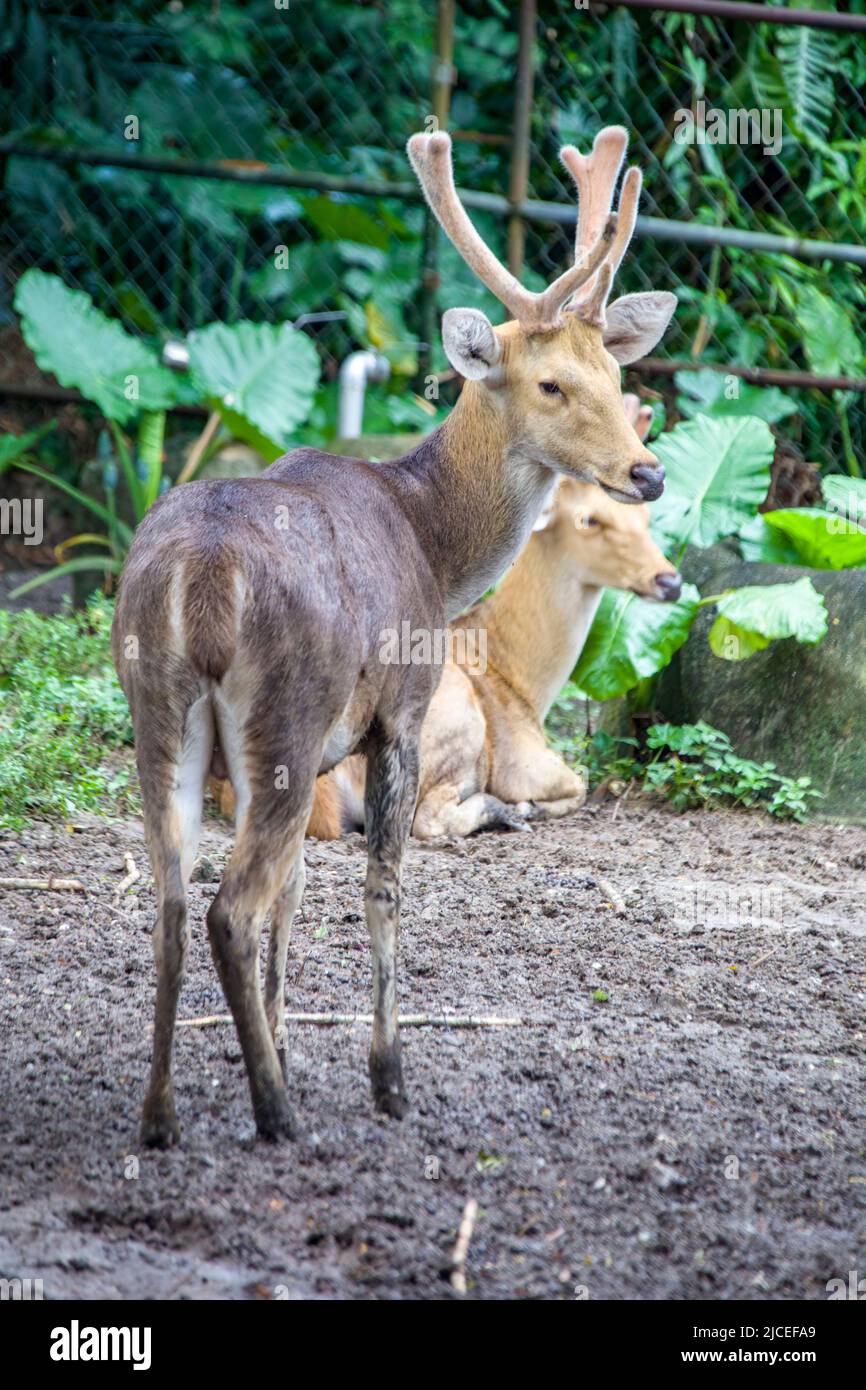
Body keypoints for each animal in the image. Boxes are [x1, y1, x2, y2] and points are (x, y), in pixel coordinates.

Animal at [112, 125, 677, 1146]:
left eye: (618, 376)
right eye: (550, 383)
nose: (647, 471)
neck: (434, 543)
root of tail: (200, 578)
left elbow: (298, 895)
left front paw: (284, 1045)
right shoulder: (402, 713)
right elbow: (382, 889)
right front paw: (385, 1078)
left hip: (159, 714)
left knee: (175, 900)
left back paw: (163, 1115)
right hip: (286, 713)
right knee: (227, 908)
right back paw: (277, 1115)